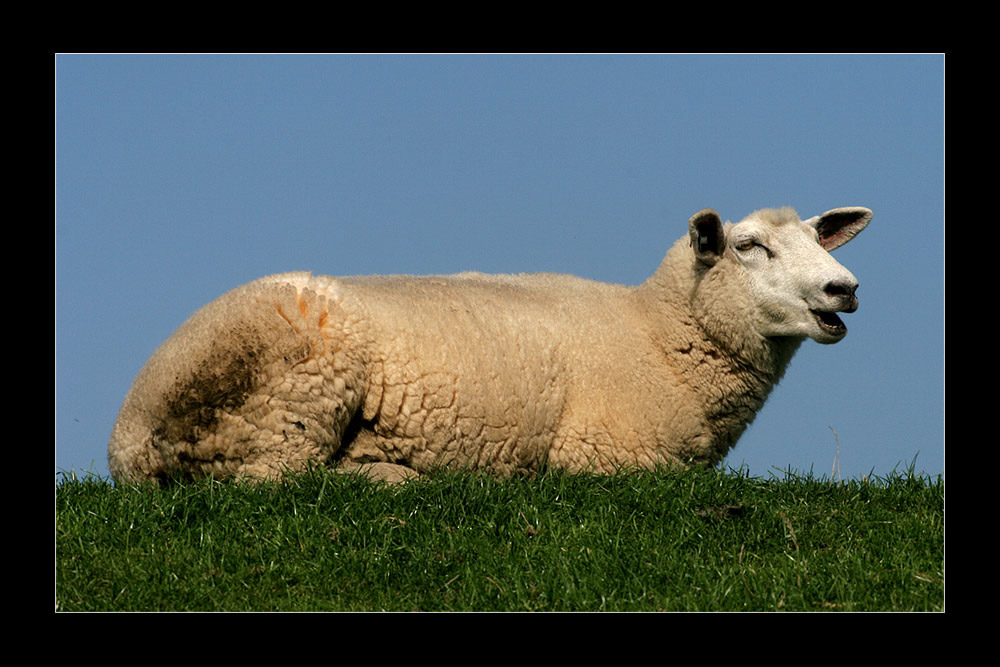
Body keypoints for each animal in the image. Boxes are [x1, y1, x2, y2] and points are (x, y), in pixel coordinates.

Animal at [109, 205, 872, 486]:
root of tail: (131, 436)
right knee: (273, 482)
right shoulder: (604, 456)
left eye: (819, 237)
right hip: (289, 400)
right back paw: (393, 476)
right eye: (749, 246)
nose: (844, 287)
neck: (656, 332)